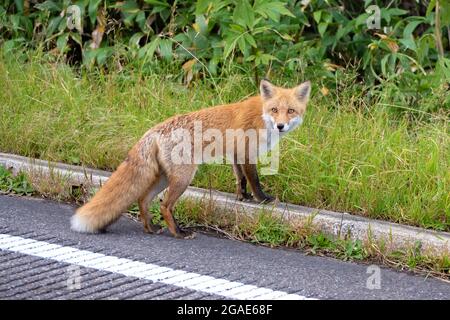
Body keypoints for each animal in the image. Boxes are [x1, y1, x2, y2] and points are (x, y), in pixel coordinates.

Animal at [71, 80, 310, 239]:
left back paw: (151, 228)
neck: (262, 116)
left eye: (290, 110)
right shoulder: (247, 153)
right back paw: (178, 232)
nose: (280, 125)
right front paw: (262, 200)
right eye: (274, 110)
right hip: (183, 178)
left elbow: (240, 179)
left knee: (143, 200)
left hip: (164, 178)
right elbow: (254, 180)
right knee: (164, 205)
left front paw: (242, 197)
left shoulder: (236, 154)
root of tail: (153, 130)